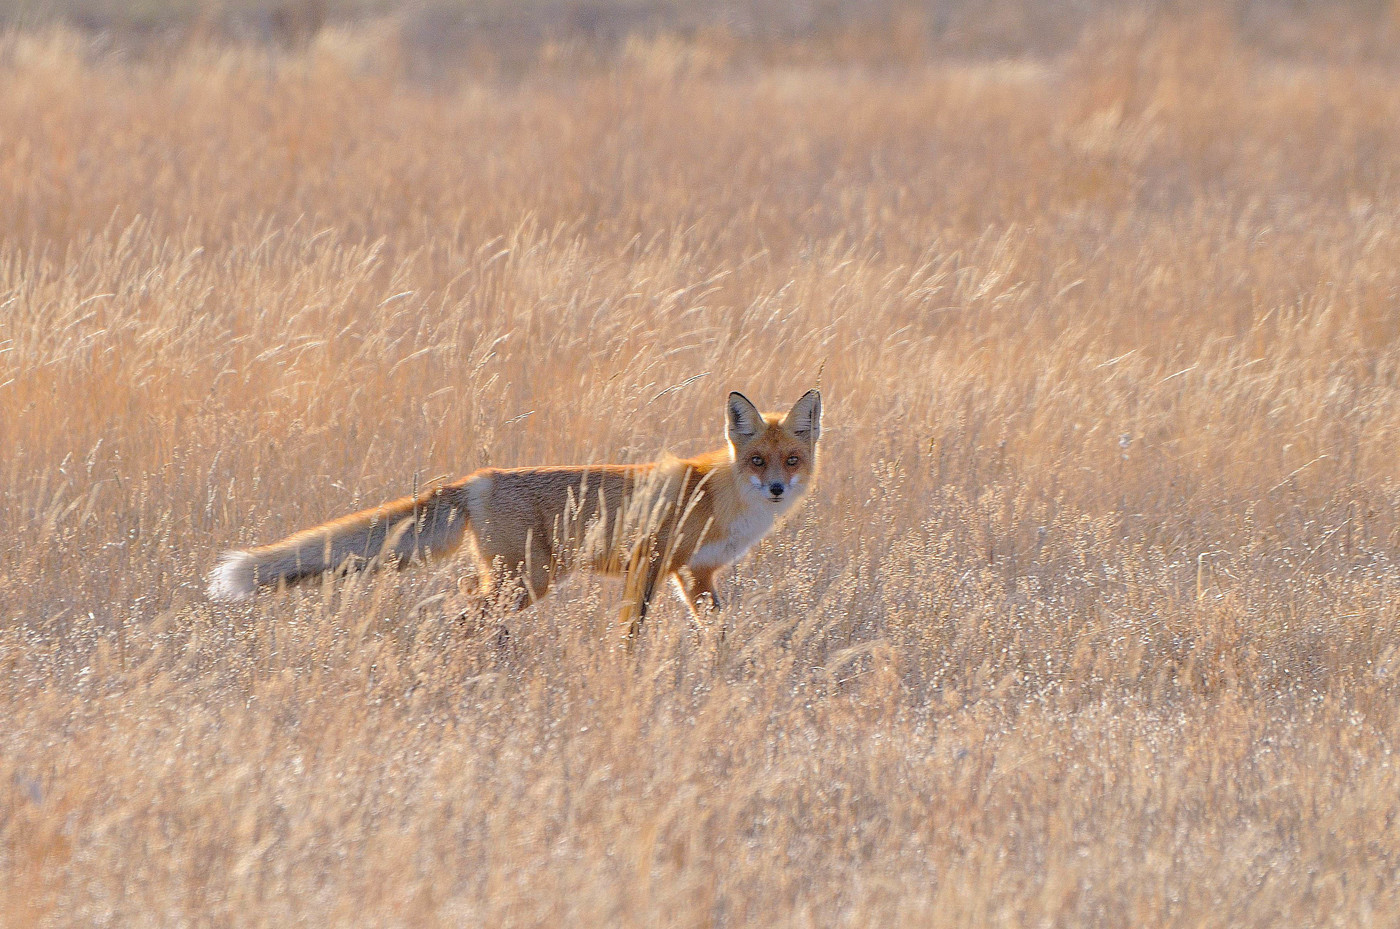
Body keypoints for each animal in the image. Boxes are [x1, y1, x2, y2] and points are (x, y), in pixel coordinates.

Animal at [207, 388, 817, 637]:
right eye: (757, 460)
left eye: (791, 459)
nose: (777, 488)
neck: (722, 497)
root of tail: (476, 480)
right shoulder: (650, 561)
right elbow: (630, 635)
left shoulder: (696, 574)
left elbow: (718, 630)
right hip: (529, 579)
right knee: (458, 616)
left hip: (515, 580)